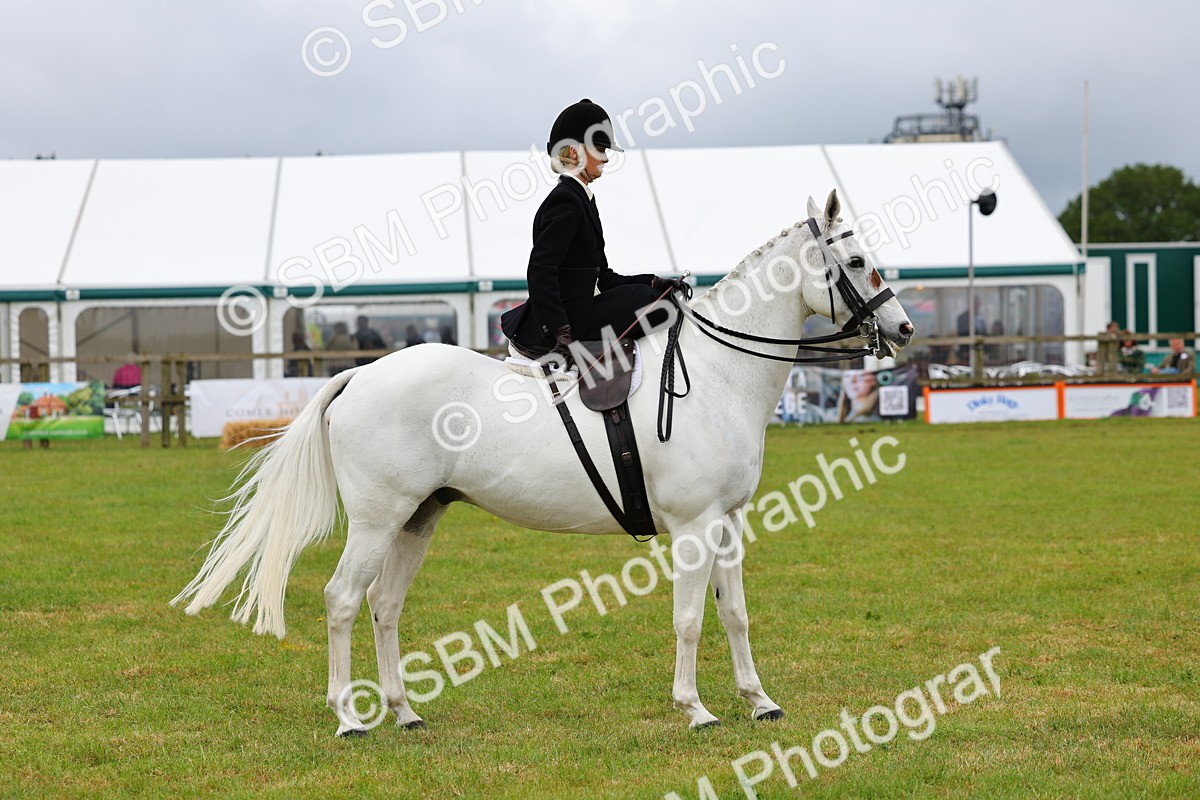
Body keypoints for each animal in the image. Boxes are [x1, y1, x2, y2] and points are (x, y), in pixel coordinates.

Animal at [173, 190, 915, 735]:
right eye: (855, 261)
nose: (904, 329)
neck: (715, 374)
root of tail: (361, 375)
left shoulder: (729, 521)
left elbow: (733, 613)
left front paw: (759, 701)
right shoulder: (695, 525)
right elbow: (689, 619)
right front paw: (696, 709)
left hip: (418, 518)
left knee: (385, 605)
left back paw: (405, 712)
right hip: (378, 520)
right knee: (342, 600)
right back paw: (350, 718)